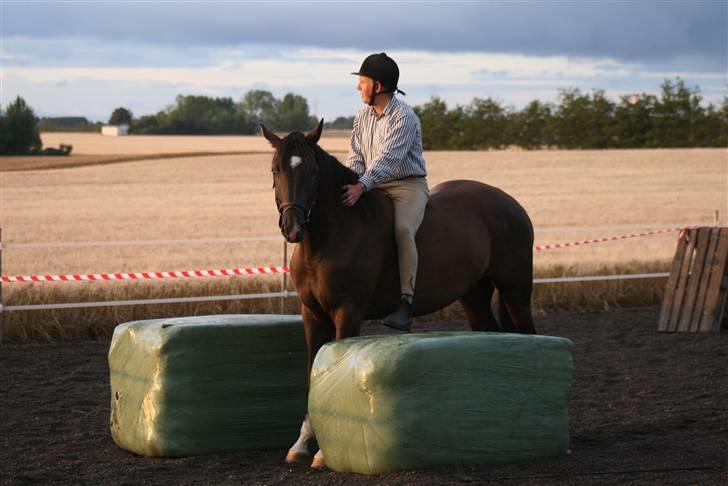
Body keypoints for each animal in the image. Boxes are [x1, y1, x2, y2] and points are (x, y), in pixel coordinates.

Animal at [262, 119, 536, 468]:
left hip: (516, 291)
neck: (332, 234)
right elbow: (313, 373)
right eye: (276, 169)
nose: (293, 227)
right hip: (474, 296)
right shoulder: (312, 314)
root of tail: (510, 203)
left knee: (529, 333)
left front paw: (324, 451)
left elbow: (332, 371)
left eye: (313, 171)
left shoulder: (347, 313)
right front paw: (302, 443)